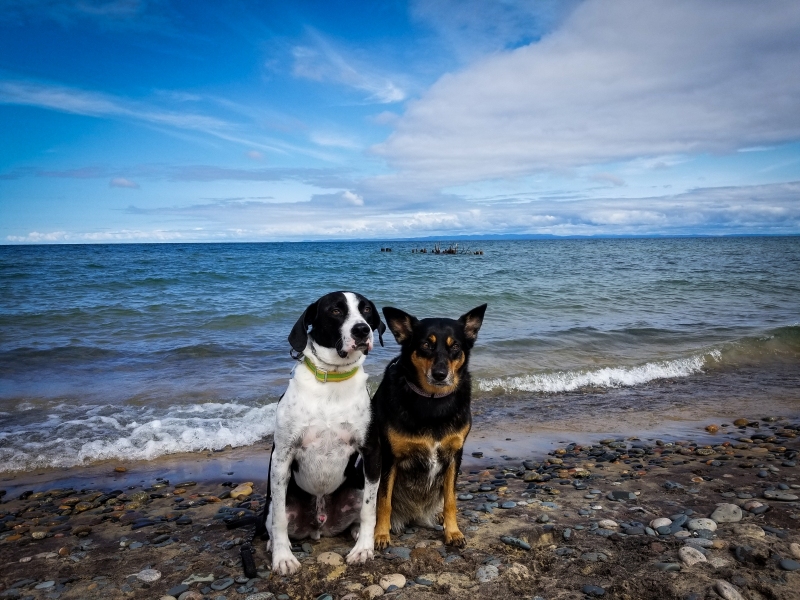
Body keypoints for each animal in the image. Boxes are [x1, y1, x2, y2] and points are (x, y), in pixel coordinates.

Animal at [262, 292, 384, 576]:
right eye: (336, 310)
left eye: (367, 310)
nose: (362, 330)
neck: (333, 379)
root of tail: (320, 525)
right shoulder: (282, 457)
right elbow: (280, 521)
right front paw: (283, 558)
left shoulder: (371, 453)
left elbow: (369, 511)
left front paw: (364, 548)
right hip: (275, 504)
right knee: (275, 522)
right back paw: (274, 545)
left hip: (355, 489)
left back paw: (356, 533)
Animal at [374, 304, 488, 548]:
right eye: (426, 344)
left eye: (455, 346)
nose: (440, 374)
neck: (433, 400)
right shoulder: (389, 457)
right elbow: (383, 500)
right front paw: (380, 534)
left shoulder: (455, 455)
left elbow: (451, 499)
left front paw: (453, 531)